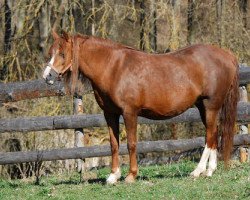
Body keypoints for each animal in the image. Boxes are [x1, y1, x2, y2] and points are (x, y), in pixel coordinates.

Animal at [43, 30, 238, 183]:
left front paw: (131, 175)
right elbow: (114, 144)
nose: (47, 76)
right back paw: (210, 170)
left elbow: (131, 143)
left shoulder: (130, 112)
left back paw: (198, 171)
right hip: (203, 107)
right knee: (213, 135)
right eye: (51, 52)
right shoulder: (110, 114)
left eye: (62, 53)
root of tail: (227, 55)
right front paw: (113, 176)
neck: (113, 68)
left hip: (211, 105)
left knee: (210, 135)